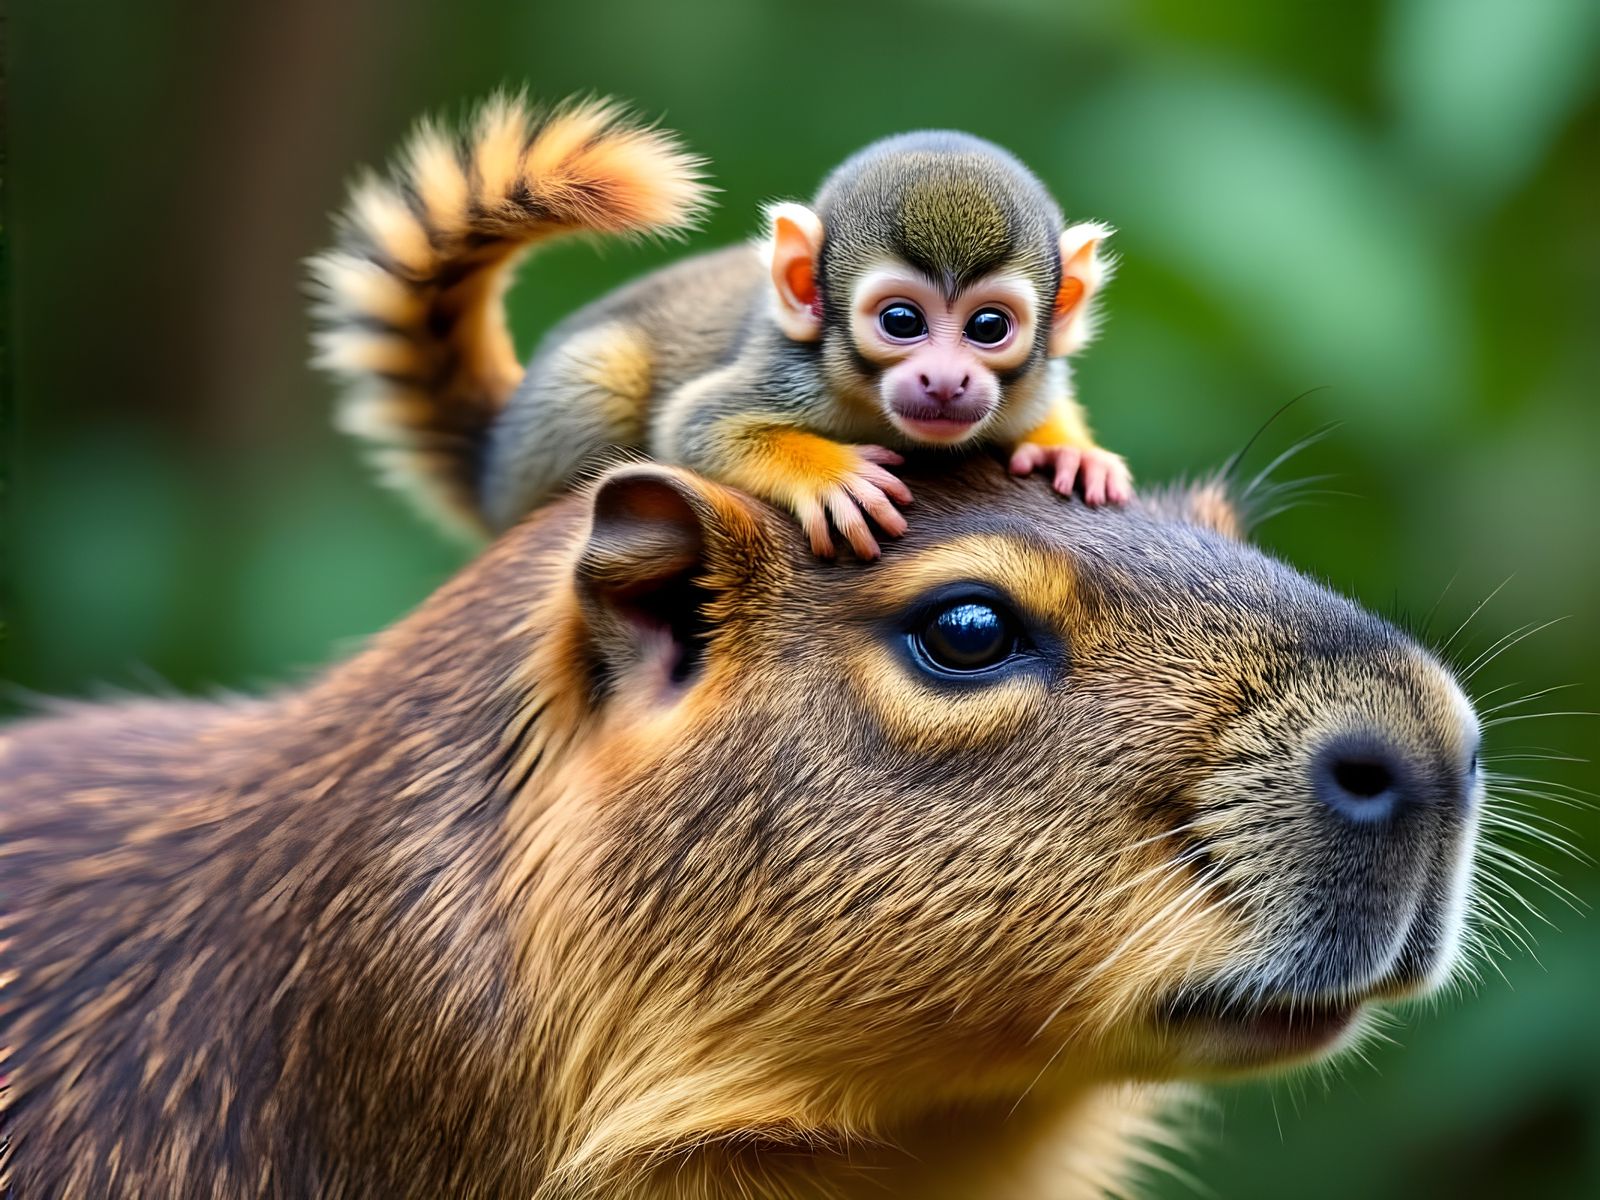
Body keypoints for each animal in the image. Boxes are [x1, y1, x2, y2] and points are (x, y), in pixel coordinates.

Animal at [310, 96, 1131, 559]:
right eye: (902, 320)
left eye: (989, 327)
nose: (947, 378)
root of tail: (490, 475)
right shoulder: (793, 370)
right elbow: (695, 427)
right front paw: (827, 476)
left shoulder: (1025, 384)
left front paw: (1070, 449)